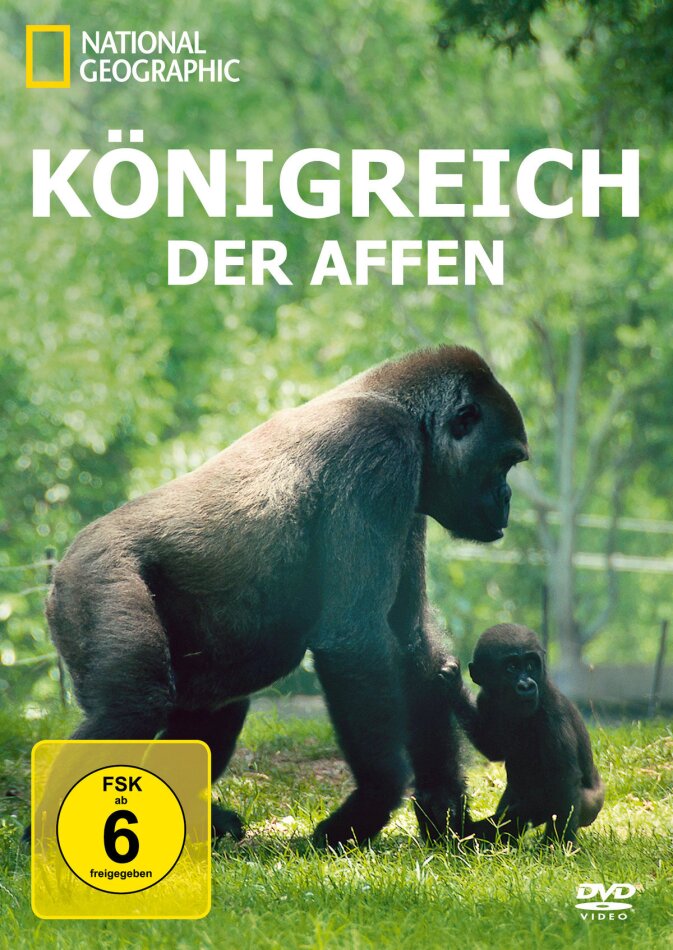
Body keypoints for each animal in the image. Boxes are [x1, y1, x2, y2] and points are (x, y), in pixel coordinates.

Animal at [40, 347, 528, 848]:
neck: (403, 409)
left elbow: (413, 644)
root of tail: (63, 565)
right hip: (93, 576)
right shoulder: (380, 451)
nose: (507, 499)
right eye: (506, 462)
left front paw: (445, 814)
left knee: (212, 708)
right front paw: (371, 802)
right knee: (130, 709)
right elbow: (353, 638)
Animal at [439, 624, 604, 846]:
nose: (526, 685)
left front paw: (557, 845)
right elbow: (494, 750)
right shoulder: (485, 698)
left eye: (531, 665)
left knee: (542, 800)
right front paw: (454, 685)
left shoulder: (554, 715)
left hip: (590, 805)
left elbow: (564, 781)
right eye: (511, 668)